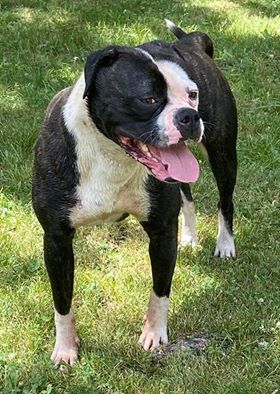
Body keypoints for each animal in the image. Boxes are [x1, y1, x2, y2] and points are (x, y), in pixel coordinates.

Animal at [33, 20, 238, 366]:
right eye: (149, 99)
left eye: (192, 94)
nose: (190, 115)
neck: (111, 156)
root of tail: (191, 42)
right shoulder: (57, 239)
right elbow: (62, 301)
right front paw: (65, 348)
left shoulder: (161, 231)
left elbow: (160, 290)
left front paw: (154, 333)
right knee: (187, 194)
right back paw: (190, 237)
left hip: (223, 154)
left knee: (226, 202)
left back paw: (225, 244)